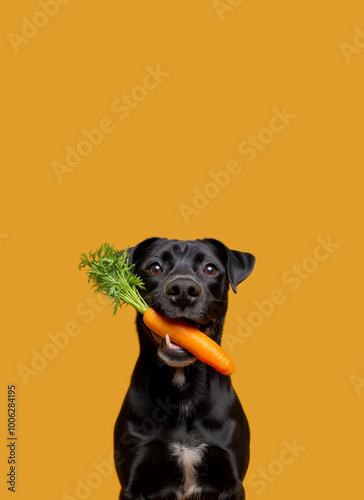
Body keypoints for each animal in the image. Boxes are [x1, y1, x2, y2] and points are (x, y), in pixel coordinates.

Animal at [115, 238, 255, 500]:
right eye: (155, 267)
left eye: (210, 269)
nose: (182, 289)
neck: (184, 395)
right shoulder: (133, 484)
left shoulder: (231, 483)